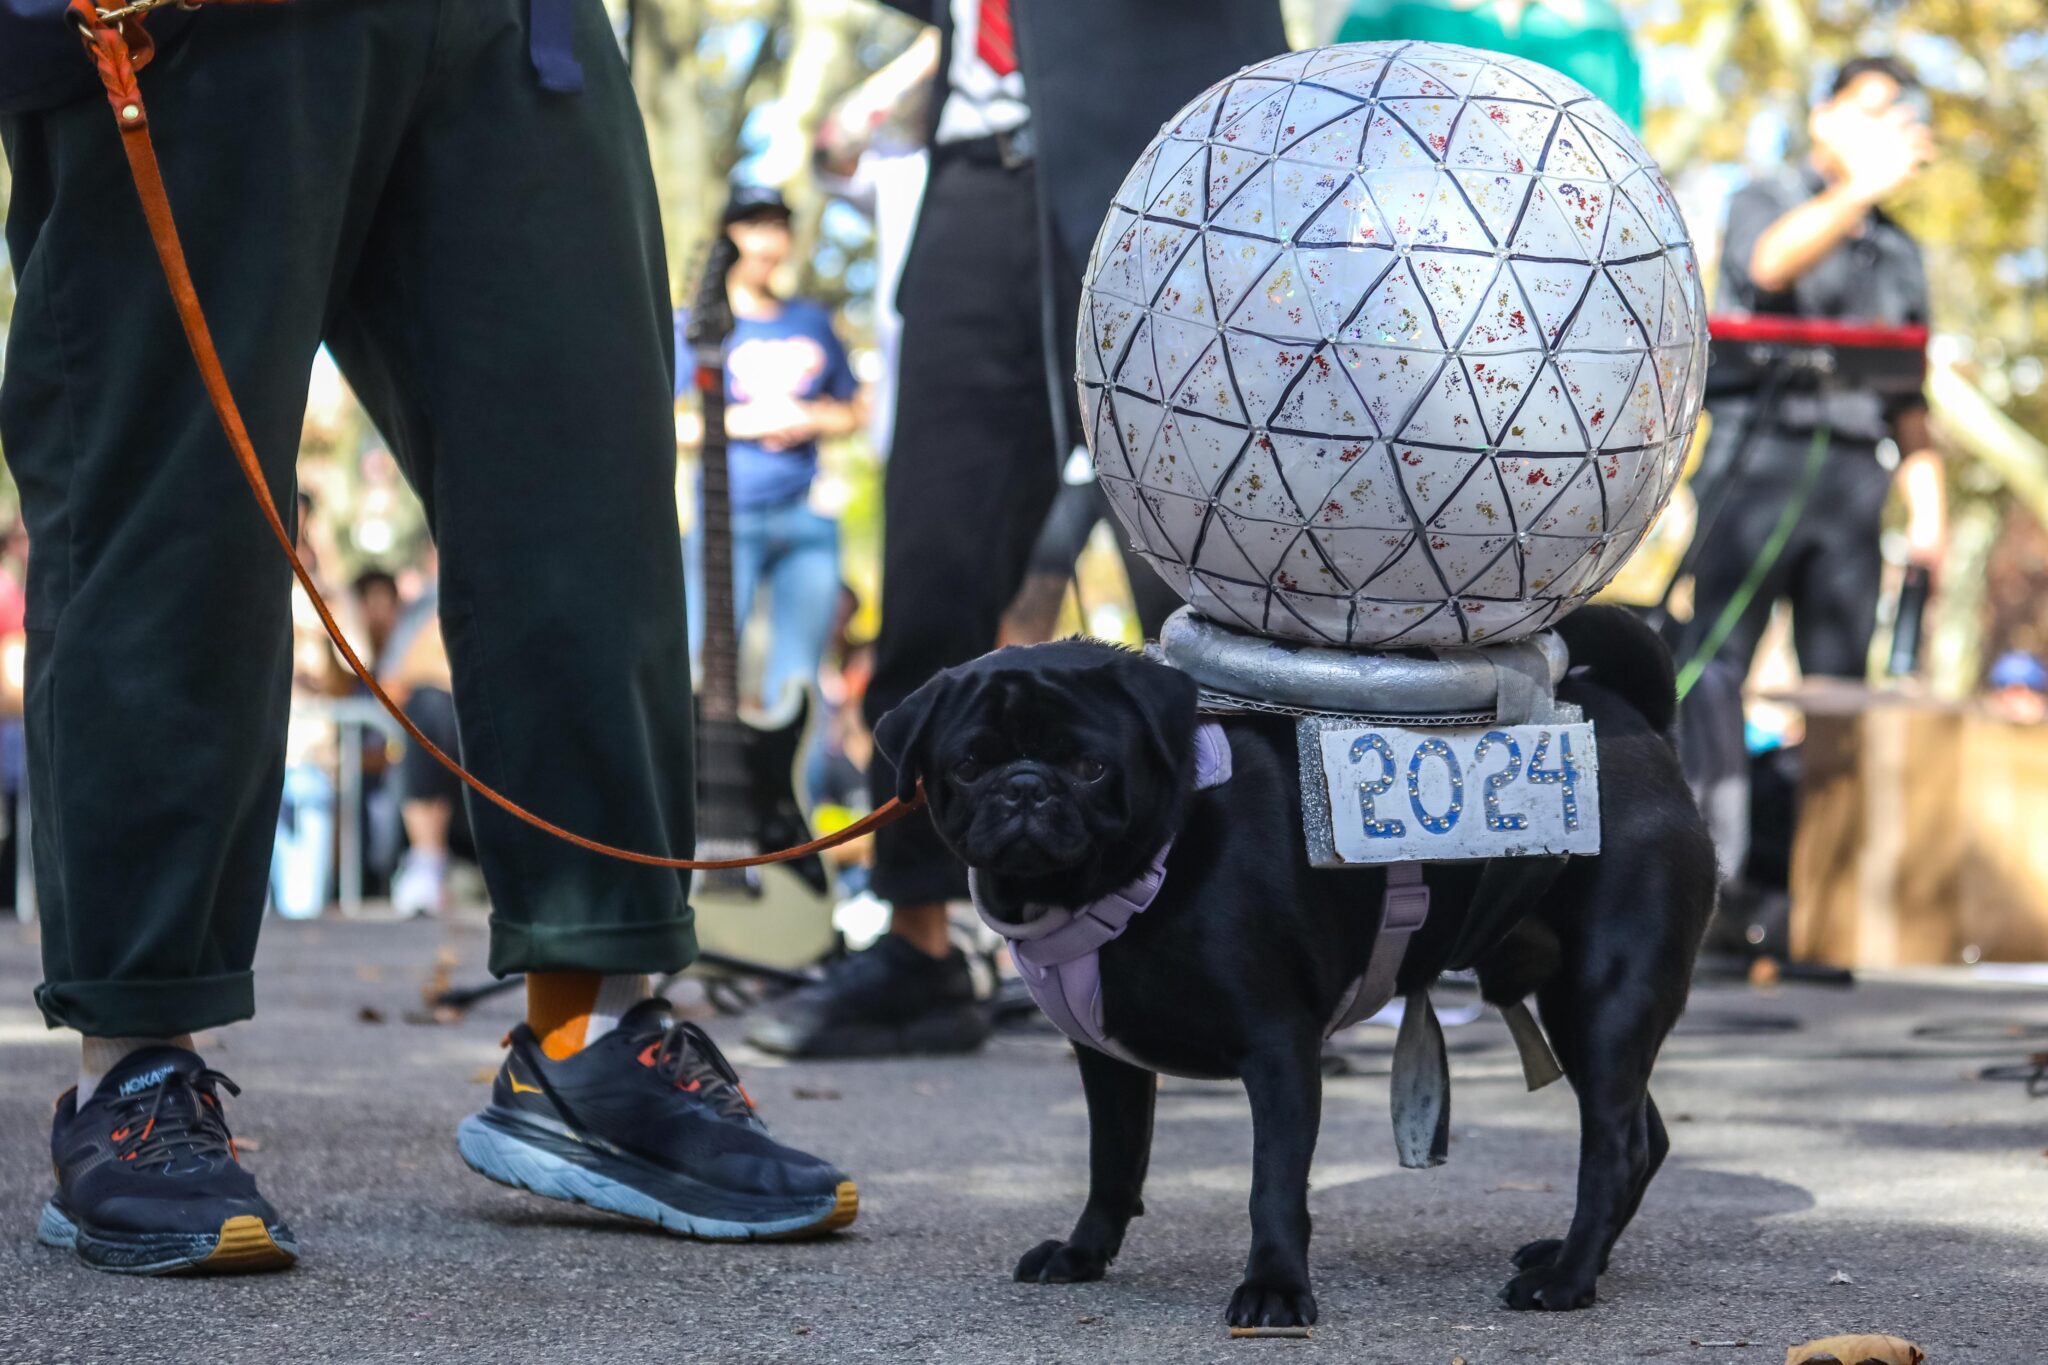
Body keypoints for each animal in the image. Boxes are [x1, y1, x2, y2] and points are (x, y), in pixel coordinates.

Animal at [872, 605, 1720, 1326]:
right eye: (969, 764)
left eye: (1090, 766)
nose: (1024, 786)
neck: (1146, 872)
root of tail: (1639, 724)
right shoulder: (1105, 1060)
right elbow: (1112, 1159)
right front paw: (1084, 1251)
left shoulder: (1278, 1047)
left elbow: (1272, 1184)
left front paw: (1275, 1288)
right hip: (1578, 1012)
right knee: (1642, 1134)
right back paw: (1575, 1256)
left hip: (1605, 992)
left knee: (1615, 1144)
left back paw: (1566, 1278)